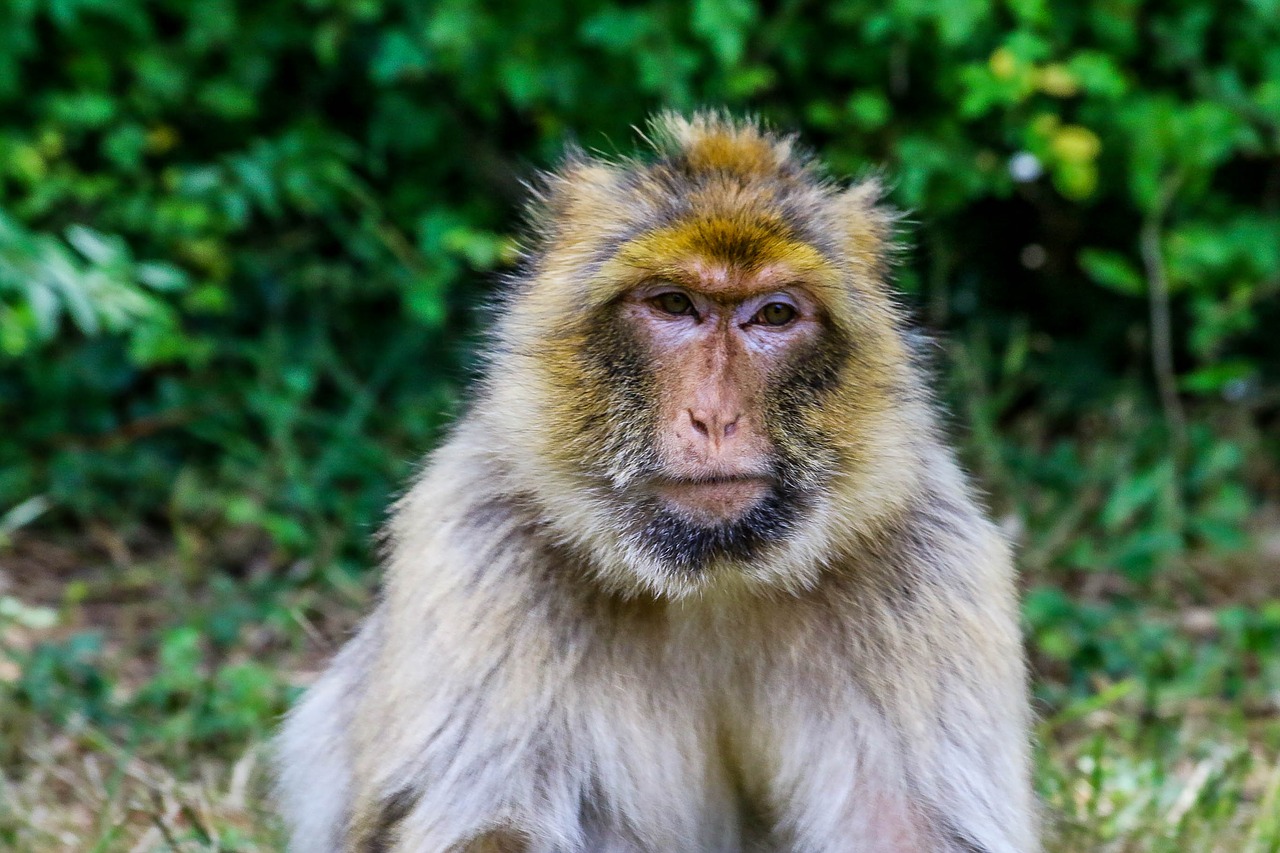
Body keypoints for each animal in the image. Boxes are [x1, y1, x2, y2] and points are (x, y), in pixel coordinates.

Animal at [272, 112, 1039, 850]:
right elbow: (486, 824)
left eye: (775, 314)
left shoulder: (927, 565)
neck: (709, 580)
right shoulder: (480, 546)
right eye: (674, 305)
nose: (715, 417)